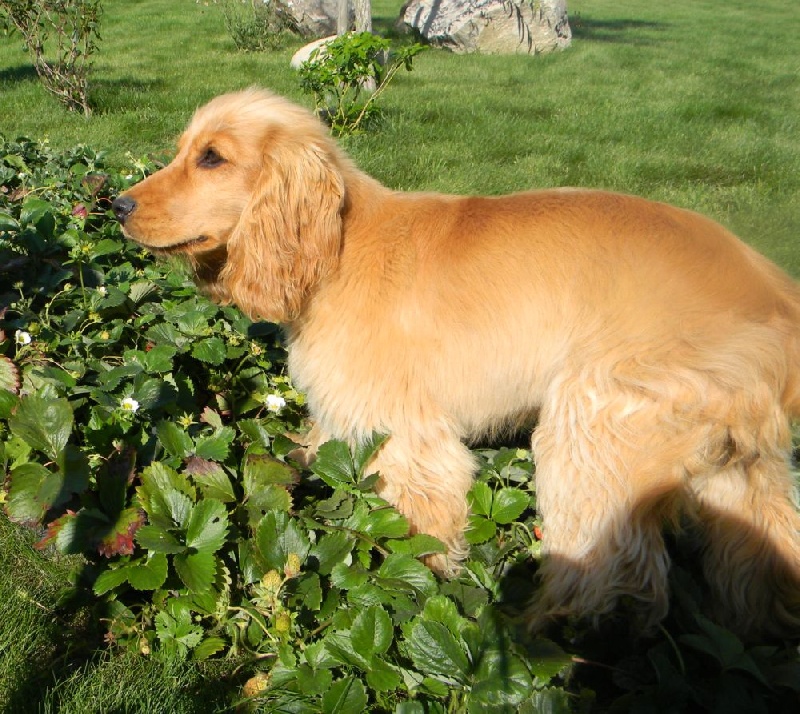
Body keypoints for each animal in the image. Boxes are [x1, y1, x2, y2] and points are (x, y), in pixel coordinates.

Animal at [115, 86, 800, 636]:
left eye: (212, 157)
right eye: (182, 150)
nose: (118, 206)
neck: (341, 246)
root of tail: (778, 303)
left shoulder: (407, 433)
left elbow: (416, 529)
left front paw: (407, 596)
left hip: (595, 422)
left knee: (612, 578)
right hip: (741, 464)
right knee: (763, 553)